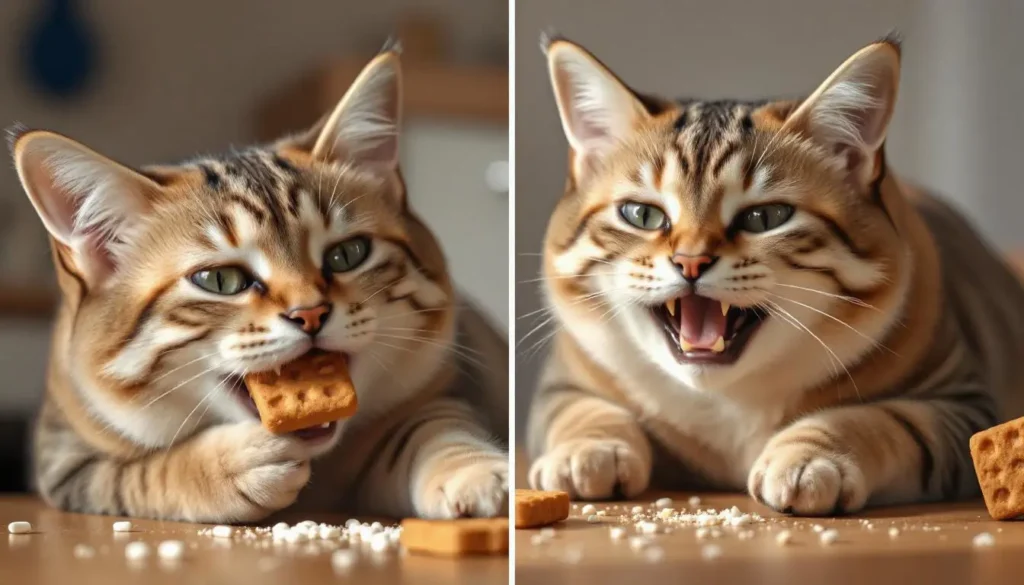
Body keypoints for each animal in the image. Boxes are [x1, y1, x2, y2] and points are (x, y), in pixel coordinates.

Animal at [14, 44, 509, 522]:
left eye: (347, 254)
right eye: (220, 279)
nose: (310, 313)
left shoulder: (445, 391)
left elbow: (430, 429)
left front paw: (473, 471)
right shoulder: (66, 461)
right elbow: (142, 474)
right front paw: (231, 464)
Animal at [524, 34, 1024, 514]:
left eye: (765, 218)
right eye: (642, 215)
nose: (690, 261)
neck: (727, 403)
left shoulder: (961, 403)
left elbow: (879, 419)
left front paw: (809, 458)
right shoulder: (562, 382)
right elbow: (580, 410)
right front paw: (587, 452)